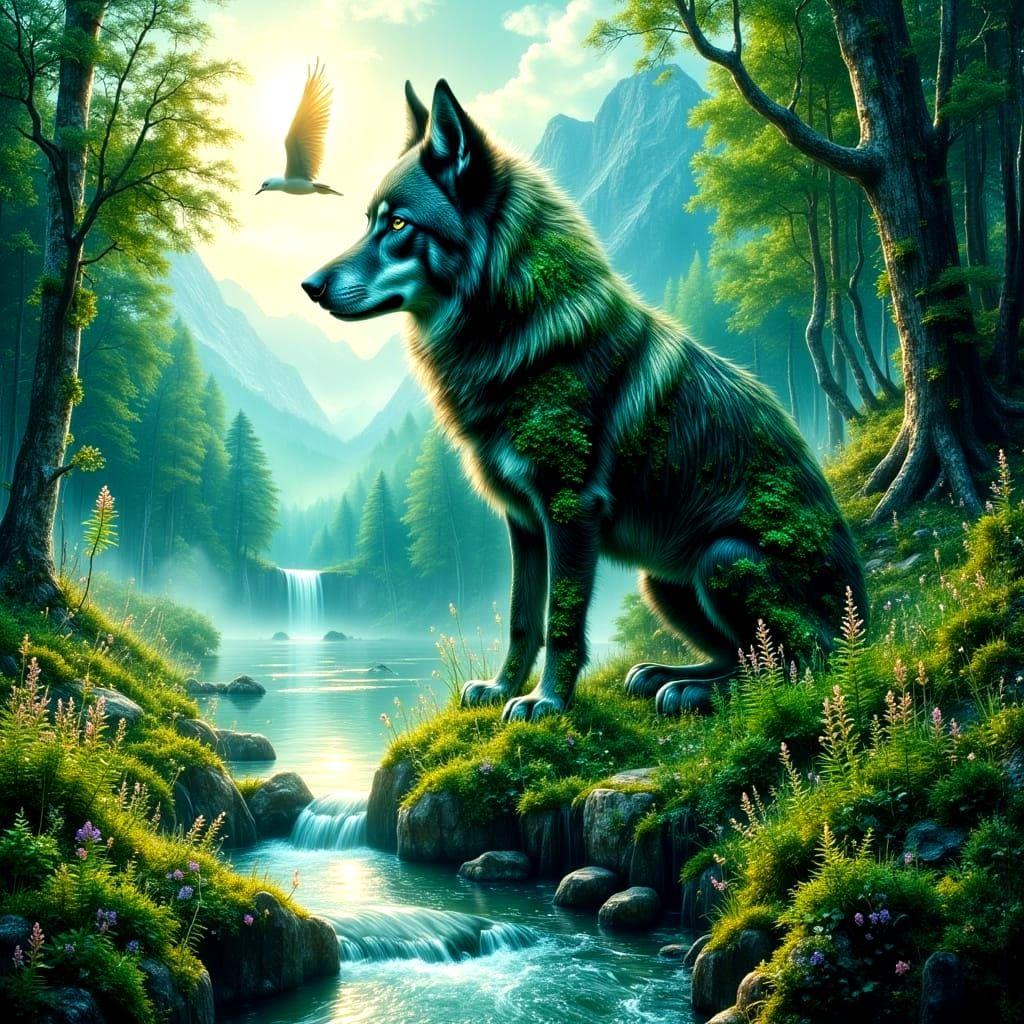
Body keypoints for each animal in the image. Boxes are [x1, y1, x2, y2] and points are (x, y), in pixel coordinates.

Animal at [301, 80, 867, 722]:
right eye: (369, 222)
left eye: (397, 224)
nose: (310, 286)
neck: (515, 333)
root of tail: (865, 625)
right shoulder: (523, 521)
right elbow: (523, 618)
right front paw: (501, 687)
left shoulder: (570, 510)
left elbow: (562, 621)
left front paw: (546, 700)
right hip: (660, 581)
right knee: (745, 657)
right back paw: (665, 676)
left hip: (722, 559)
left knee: (796, 666)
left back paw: (696, 691)